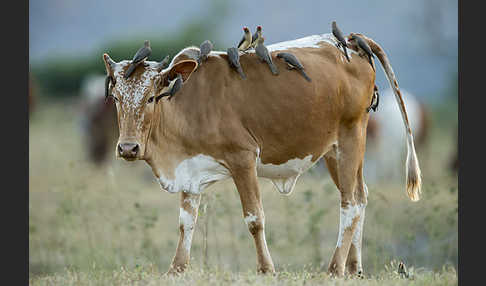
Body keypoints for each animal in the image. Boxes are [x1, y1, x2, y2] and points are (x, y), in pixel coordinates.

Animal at [100, 31, 420, 278]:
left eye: (151, 97)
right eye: (115, 98)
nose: (127, 148)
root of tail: (351, 40)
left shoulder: (242, 159)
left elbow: (254, 218)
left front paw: (266, 269)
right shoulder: (190, 170)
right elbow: (186, 222)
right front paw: (176, 269)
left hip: (351, 137)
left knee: (350, 204)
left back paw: (334, 268)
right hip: (334, 151)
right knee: (360, 196)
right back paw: (353, 268)